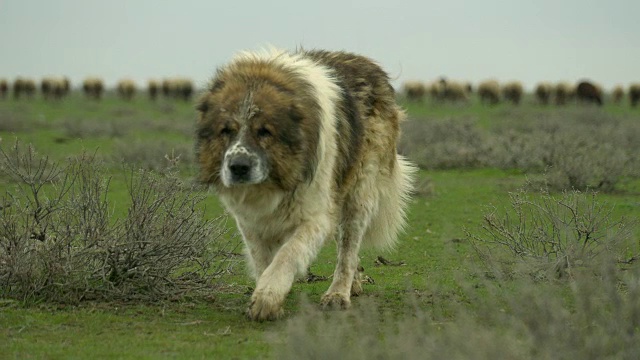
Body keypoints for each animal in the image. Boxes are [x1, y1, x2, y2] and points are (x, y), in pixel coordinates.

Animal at [195, 48, 416, 320]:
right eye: (226, 130)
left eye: (264, 131)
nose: (238, 167)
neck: (274, 183)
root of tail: (371, 66)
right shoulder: (250, 221)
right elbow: (262, 259)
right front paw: (267, 294)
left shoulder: (315, 217)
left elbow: (287, 255)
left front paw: (267, 298)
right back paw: (354, 284)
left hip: (359, 195)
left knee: (348, 249)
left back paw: (338, 293)